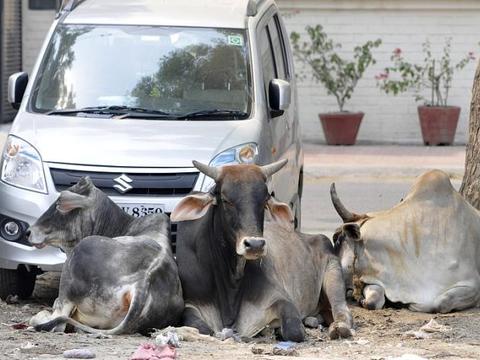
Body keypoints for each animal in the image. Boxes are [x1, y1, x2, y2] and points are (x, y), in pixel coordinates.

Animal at [172, 160, 352, 340]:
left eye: (264, 201)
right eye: (226, 200)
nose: (255, 244)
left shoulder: (279, 299)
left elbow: (294, 330)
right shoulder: (192, 304)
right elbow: (203, 329)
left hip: (333, 271)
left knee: (341, 309)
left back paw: (339, 327)